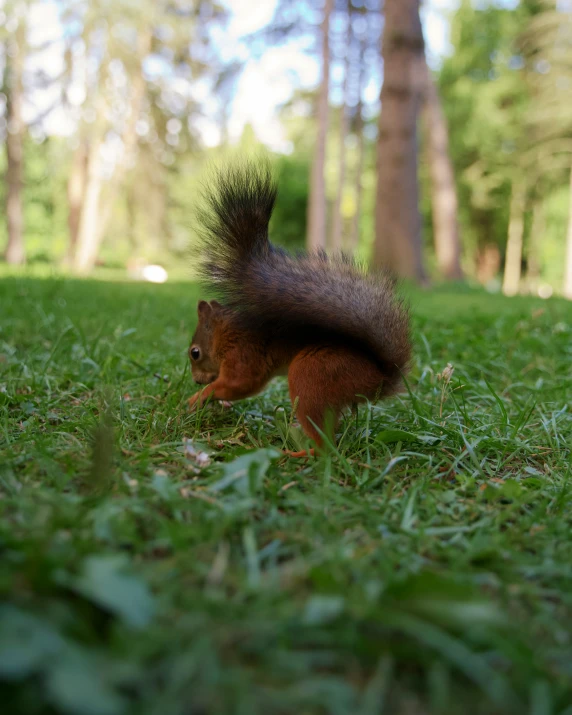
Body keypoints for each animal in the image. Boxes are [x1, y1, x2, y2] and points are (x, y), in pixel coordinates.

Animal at [188, 163, 412, 456]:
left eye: (194, 353)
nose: (196, 380)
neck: (226, 334)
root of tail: (379, 379)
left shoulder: (244, 356)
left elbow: (240, 384)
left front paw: (199, 397)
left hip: (312, 376)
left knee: (326, 447)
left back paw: (295, 454)